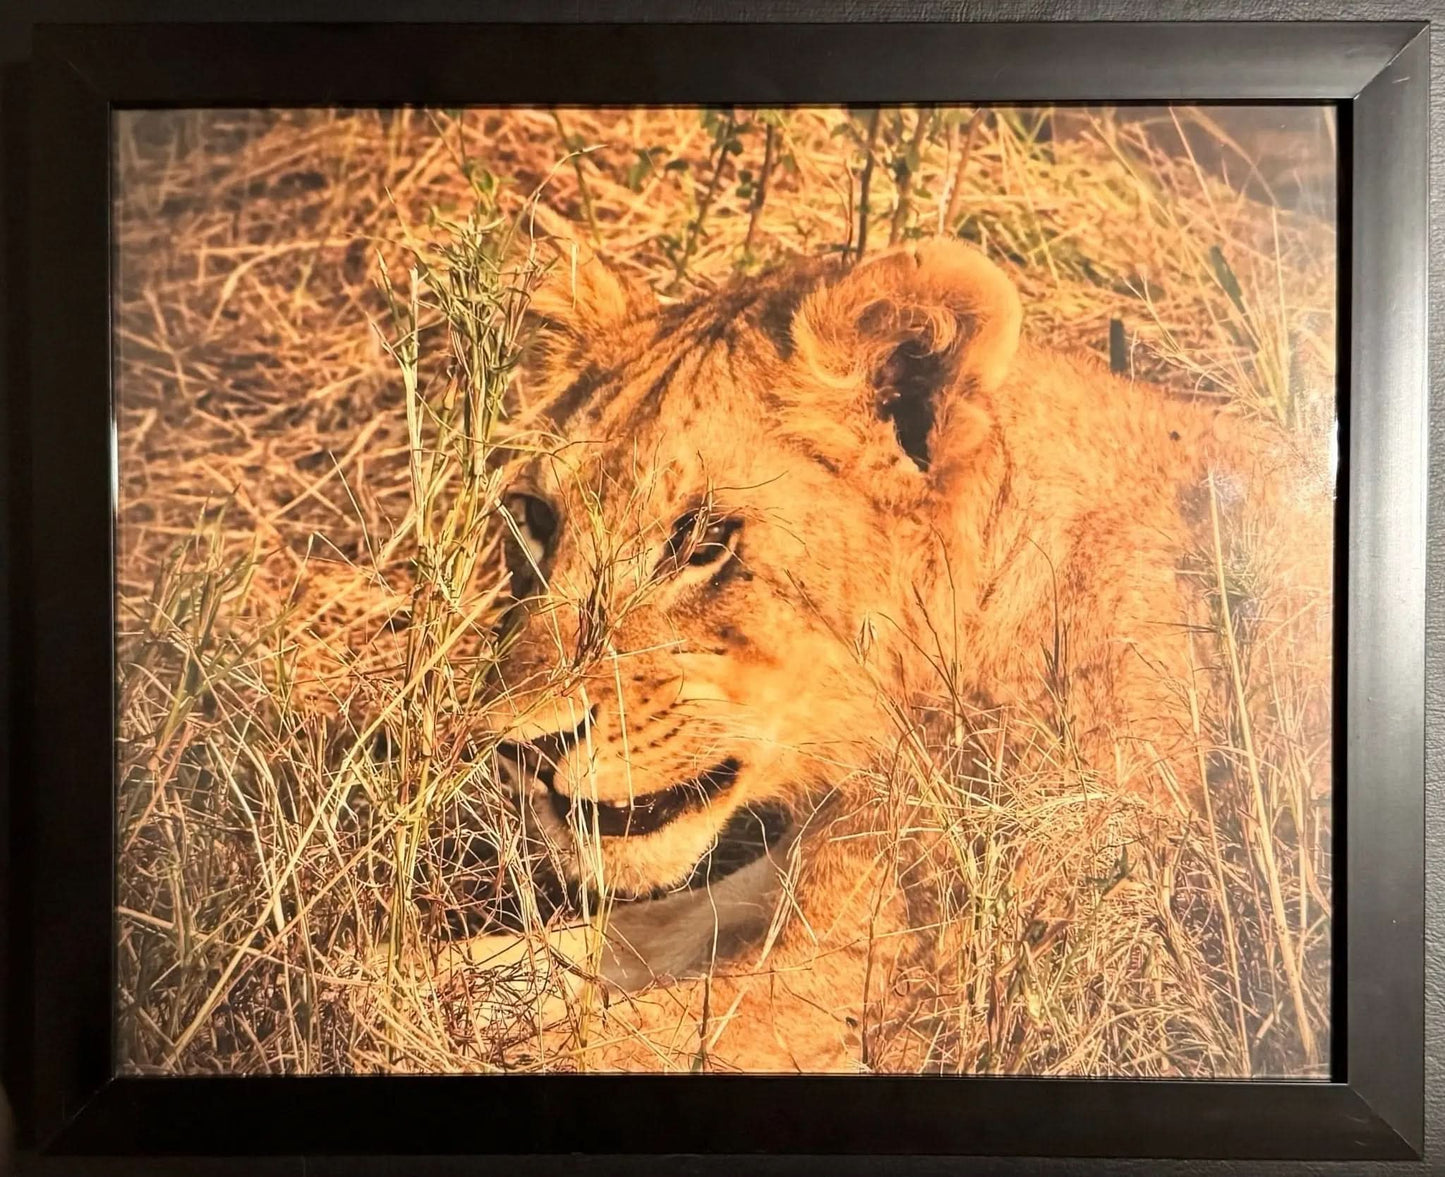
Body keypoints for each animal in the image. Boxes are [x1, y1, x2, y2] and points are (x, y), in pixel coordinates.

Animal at [428, 238, 1317, 1073]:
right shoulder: (783, 892)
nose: (518, 748)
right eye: (533, 518)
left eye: (701, 541)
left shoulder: (905, 989)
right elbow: (500, 962)